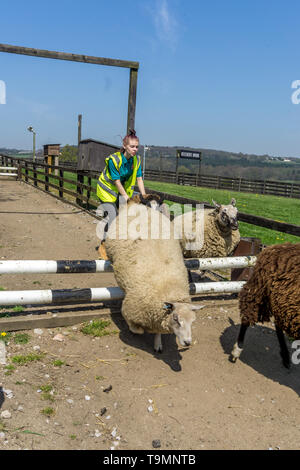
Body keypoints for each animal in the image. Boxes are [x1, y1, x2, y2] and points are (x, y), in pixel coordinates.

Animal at [105, 199, 202, 352]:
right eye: (176, 319)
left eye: (192, 321)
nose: (187, 342)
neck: (169, 288)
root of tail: (136, 204)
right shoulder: (129, 310)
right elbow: (138, 330)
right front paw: (139, 331)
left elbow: (158, 332)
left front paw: (158, 343)